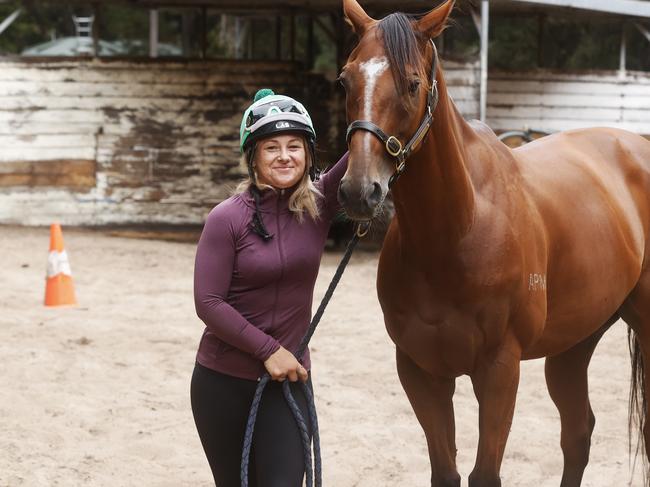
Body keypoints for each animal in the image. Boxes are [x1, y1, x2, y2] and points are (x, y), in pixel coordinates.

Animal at [336, 0, 648, 487]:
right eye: (345, 80)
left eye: (412, 83)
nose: (358, 191)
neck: (456, 232)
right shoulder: (420, 371)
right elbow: (445, 472)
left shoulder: (500, 369)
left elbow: (485, 474)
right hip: (573, 345)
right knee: (578, 433)